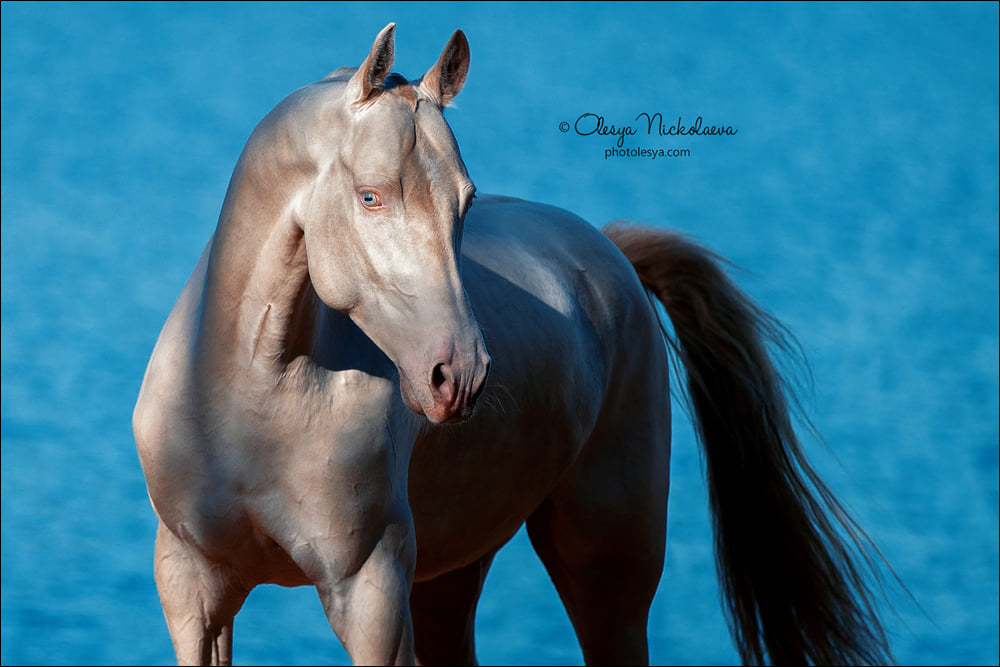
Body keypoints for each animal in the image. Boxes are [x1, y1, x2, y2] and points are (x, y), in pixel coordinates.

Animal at [131, 23, 892, 667]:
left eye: (466, 201)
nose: (459, 374)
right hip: (447, 576)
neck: (246, 399)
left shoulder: (370, 592)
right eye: (371, 196)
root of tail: (607, 252)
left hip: (608, 570)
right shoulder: (193, 590)